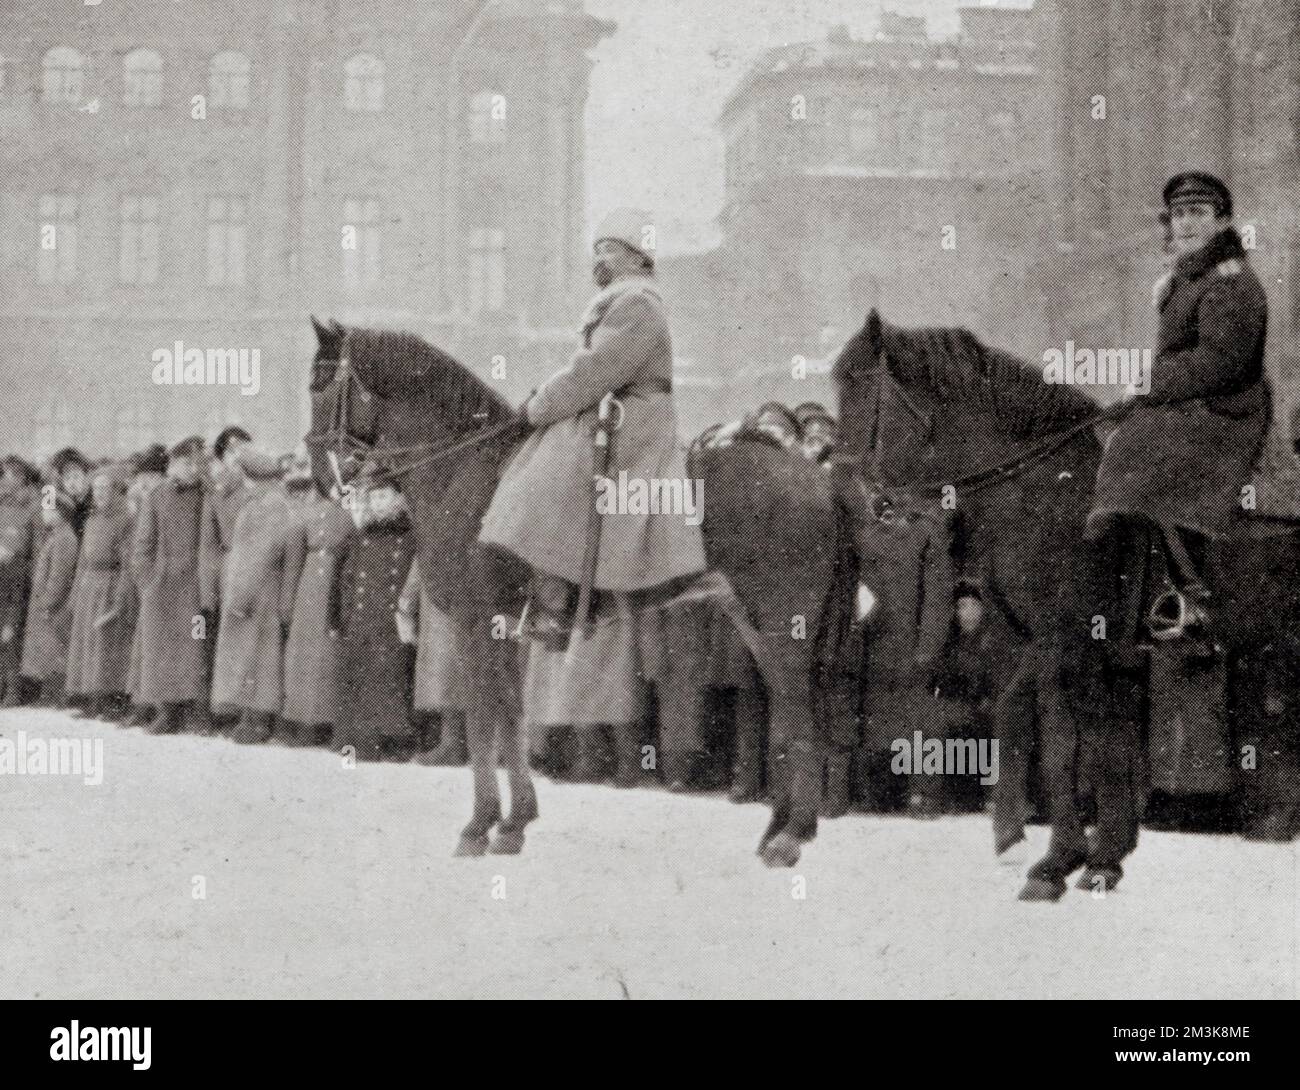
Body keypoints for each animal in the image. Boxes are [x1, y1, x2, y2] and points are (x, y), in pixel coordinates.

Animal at [832, 309, 1300, 905]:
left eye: (861, 391)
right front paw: (1095, 859)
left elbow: (1073, 747)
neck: (1046, 495)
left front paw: (1060, 863)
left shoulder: (1069, 647)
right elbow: (1083, 742)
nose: (852, 493)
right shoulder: (1063, 652)